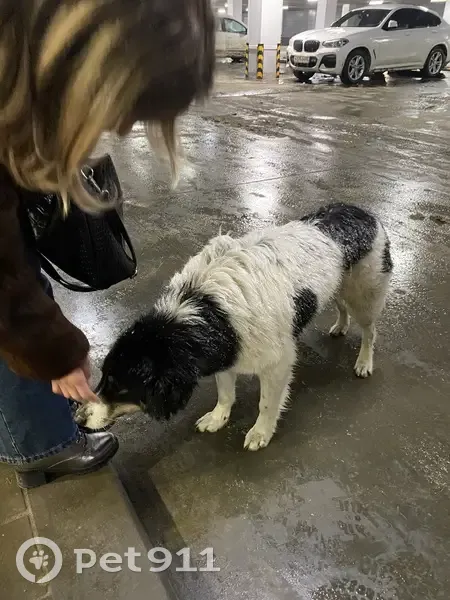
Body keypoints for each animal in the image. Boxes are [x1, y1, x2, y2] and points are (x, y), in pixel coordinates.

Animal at [75, 203, 393, 450]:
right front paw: (218, 418)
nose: (77, 419)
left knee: (370, 331)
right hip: (341, 286)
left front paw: (261, 432)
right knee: (341, 307)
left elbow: (267, 404)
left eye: (120, 386)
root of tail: (362, 211)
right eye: (103, 376)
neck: (206, 309)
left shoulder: (277, 363)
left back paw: (364, 362)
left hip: (365, 295)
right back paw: (340, 327)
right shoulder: (225, 354)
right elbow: (226, 394)